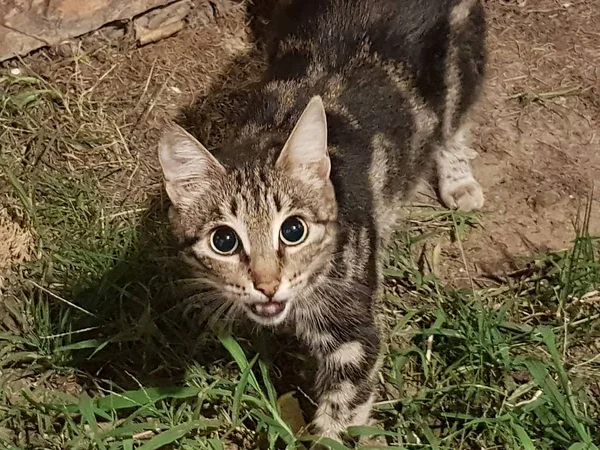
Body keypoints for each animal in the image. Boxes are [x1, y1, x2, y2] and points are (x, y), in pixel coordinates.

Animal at [157, 0, 486, 442]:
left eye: (293, 230)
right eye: (223, 241)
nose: (266, 285)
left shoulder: (354, 337)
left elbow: (340, 420)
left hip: (463, 66)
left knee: (455, 122)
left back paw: (458, 178)